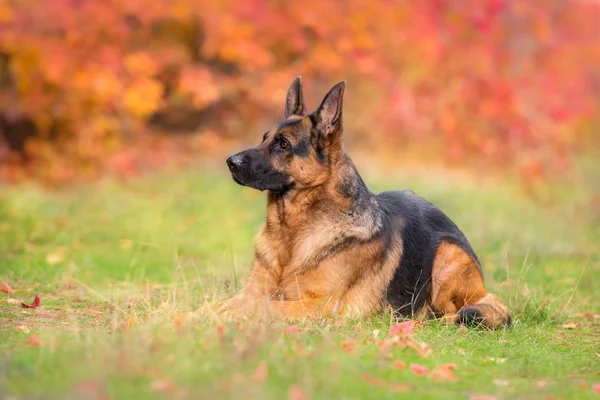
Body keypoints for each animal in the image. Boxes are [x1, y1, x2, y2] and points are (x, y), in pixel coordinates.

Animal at [221, 77, 510, 328]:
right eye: (264, 138)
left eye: (283, 144)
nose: (230, 162)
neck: (291, 235)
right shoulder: (252, 291)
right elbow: (226, 303)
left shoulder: (317, 305)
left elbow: (259, 306)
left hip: (447, 255)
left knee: (450, 313)